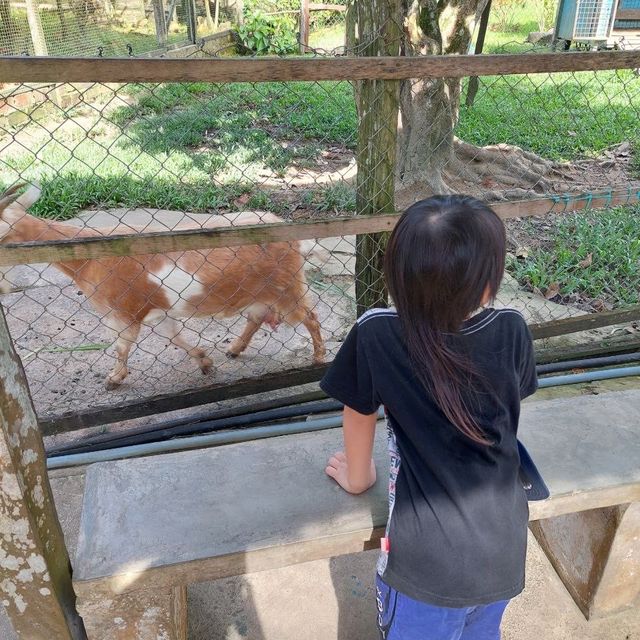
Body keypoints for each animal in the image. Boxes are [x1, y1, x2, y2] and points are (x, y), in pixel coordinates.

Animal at [1, 182, 324, 388]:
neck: (88, 258)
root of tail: (294, 238)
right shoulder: (159, 311)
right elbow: (175, 338)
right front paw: (205, 362)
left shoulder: (124, 314)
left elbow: (122, 347)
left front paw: (113, 379)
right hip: (262, 292)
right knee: (256, 318)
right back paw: (234, 349)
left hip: (287, 286)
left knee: (310, 317)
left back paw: (318, 357)